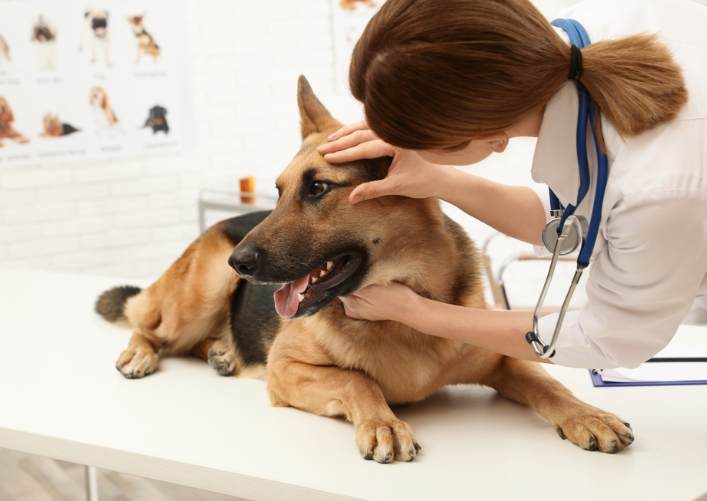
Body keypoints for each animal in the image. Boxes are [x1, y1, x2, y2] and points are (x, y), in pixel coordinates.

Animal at [95, 75, 636, 460]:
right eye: (278, 191)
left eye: (318, 188)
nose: (241, 262)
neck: (402, 314)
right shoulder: (286, 369)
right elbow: (358, 379)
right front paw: (383, 422)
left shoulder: (504, 358)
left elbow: (548, 381)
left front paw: (587, 414)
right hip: (203, 288)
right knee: (150, 325)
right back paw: (143, 353)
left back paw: (222, 353)